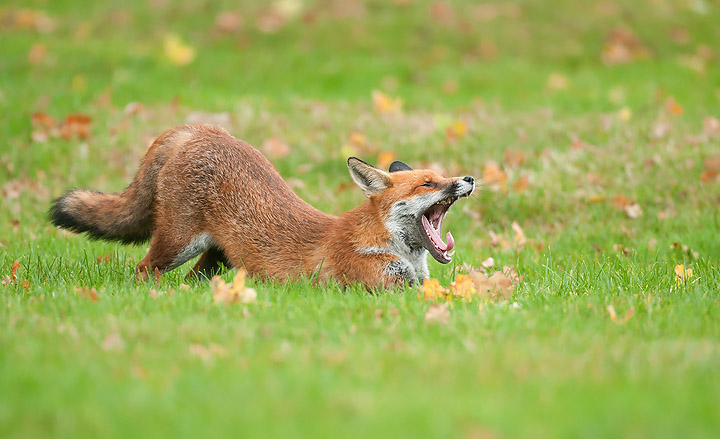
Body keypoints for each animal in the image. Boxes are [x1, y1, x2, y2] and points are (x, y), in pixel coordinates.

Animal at [50, 124, 475, 288]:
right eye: (428, 183)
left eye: (442, 175)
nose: (468, 179)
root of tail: (202, 130)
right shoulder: (384, 287)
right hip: (177, 243)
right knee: (143, 269)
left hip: (218, 257)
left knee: (194, 279)